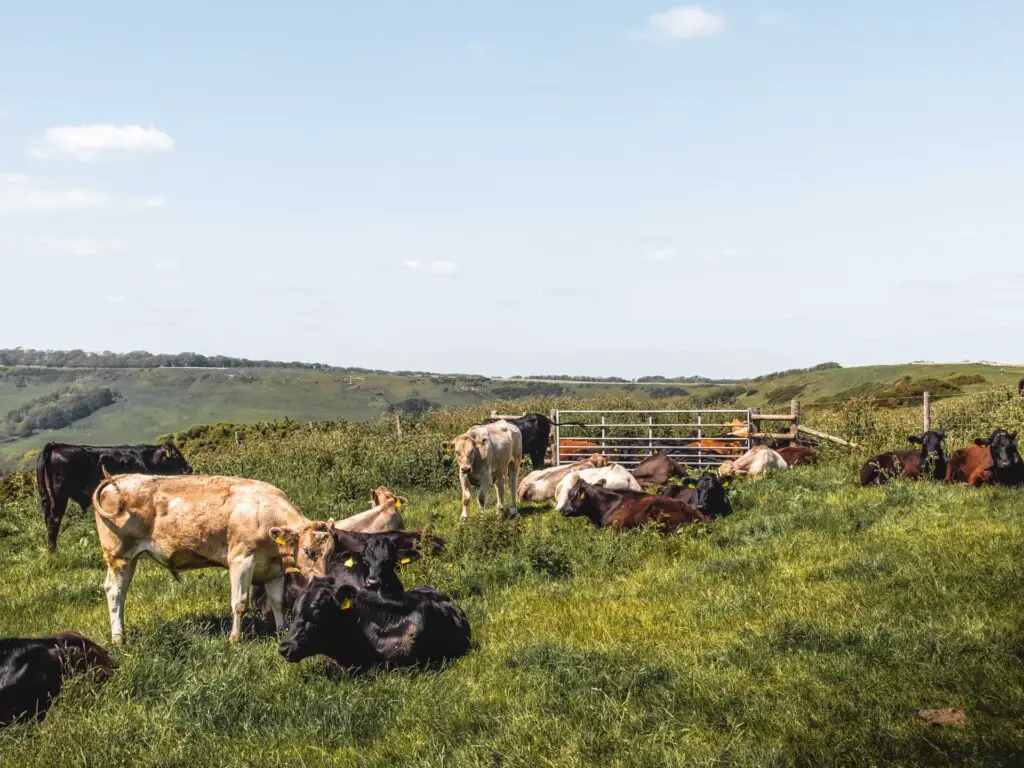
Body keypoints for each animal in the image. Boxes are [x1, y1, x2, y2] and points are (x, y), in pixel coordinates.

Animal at [36, 442, 192, 557]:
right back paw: (53, 552)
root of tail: (57, 445)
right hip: (59, 496)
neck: (147, 460)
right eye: (176, 455)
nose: (189, 468)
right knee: (54, 520)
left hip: (48, 498)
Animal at [93, 473, 327, 647]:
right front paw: (235, 639)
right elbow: (239, 603)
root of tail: (120, 478)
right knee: (115, 592)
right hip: (119, 555)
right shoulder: (241, 561)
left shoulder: (274, 569)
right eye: (308, 551)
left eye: (331, 552)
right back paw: (118, 638)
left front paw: (281, 630)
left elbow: (277, 602)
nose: (324, 581)